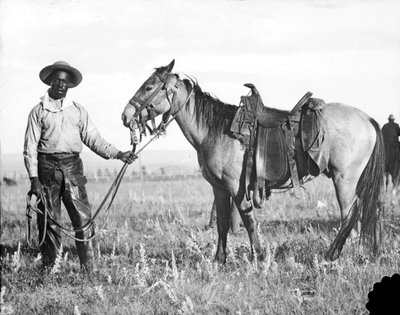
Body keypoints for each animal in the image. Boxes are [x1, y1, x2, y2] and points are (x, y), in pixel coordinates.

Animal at [121, 60, 384, 262]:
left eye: (149, 86)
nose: (125, 116)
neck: (214, 131)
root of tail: (368, 119)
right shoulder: (219, 187)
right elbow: (223, 221)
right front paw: (220, 260)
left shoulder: (236, 186)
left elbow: (248, 221)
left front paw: (258, 256)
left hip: (344, 179)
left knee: (349, 213)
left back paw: (331, 254)